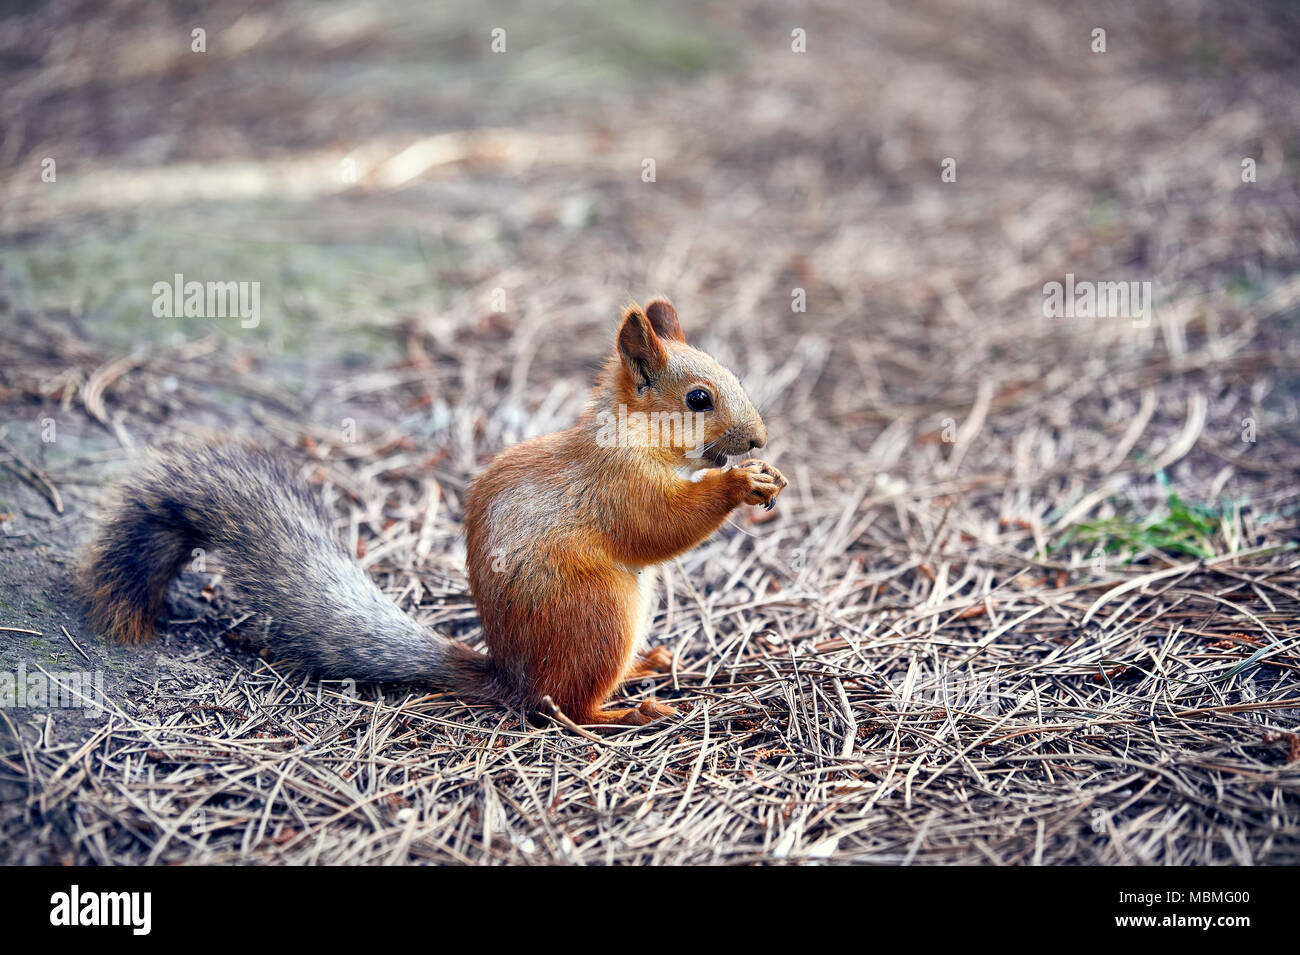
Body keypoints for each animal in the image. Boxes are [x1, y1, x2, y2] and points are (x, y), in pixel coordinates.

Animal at [80, 297, 787, 726]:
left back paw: (648, 666)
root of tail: (510, 676)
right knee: (564, 707)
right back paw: (624, 713)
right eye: (698, 398)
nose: (759, 439)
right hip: (598, 614)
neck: (634, 436)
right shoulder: (617, 488)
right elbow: (658, 526)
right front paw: (738, 483)